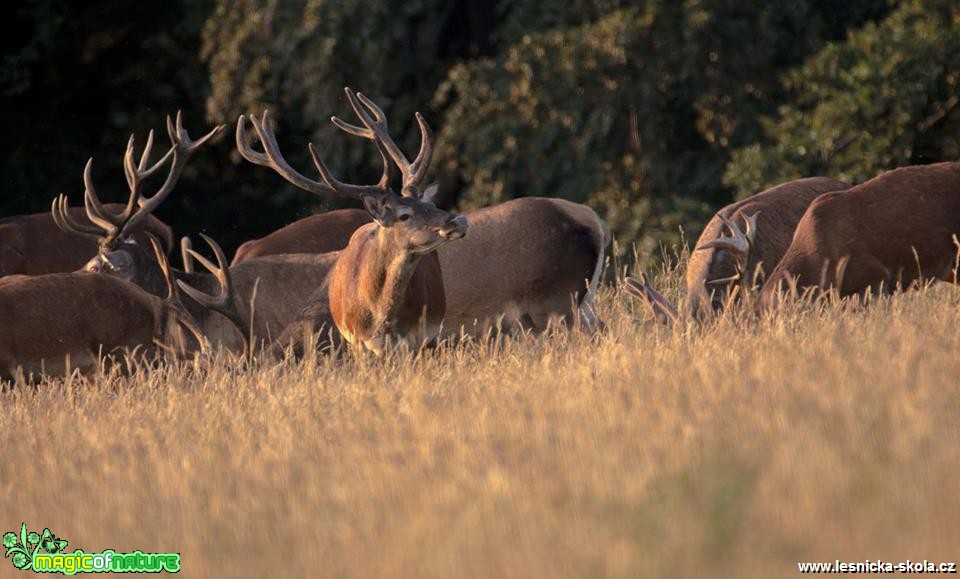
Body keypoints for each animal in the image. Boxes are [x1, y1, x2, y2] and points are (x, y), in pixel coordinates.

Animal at [238, 89, 466, 354]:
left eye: (431, 205)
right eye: (404, 215)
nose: (458, 220)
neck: (380, 322)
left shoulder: (416, 339)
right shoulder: (358, 341)